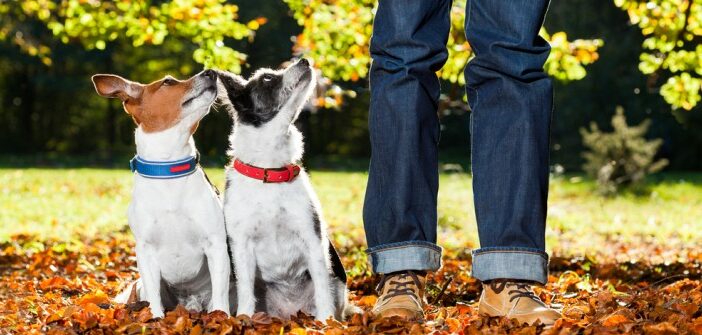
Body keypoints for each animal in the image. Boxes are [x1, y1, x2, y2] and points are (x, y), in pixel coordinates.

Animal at [92, 70, 235, 318]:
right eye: (168, 82)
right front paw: (155, 320)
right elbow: (154, 301)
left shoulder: (215, 244)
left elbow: (220, 297)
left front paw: (222, 318)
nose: (211, 72)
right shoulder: (145, 251)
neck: (169, 169)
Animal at [217, 59, 360, 322]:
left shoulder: (312, 239)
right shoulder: (241, 245)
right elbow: (245, 291)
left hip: (336, 284)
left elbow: (322, 287)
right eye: (267, 78)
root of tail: (290, 311)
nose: (305, 60)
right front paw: (244, 319)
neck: (270, 171)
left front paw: (325, 323)